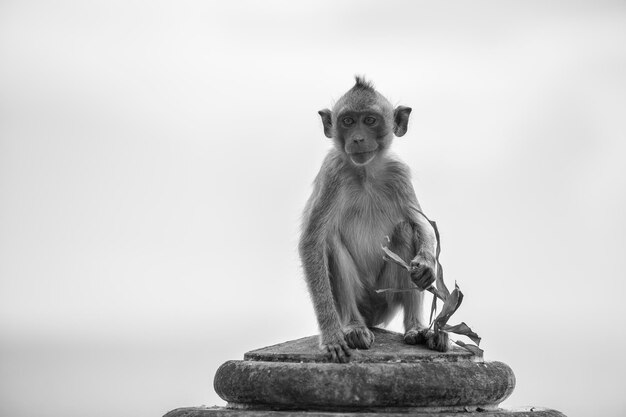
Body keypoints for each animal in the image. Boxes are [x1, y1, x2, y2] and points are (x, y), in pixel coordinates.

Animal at [298, 76, 438, 362]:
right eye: (348, 121)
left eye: (370, 120)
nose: (358, 138)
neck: (365, 172)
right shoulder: (332, 172)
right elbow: (312, 242)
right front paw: (331, 336)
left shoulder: (398, 173)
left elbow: (420, 223)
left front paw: (427, 264)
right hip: (362, 299)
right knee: (330, 241)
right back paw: (353, 327)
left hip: (385, 297)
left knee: (405, 230)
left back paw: (416, 328)